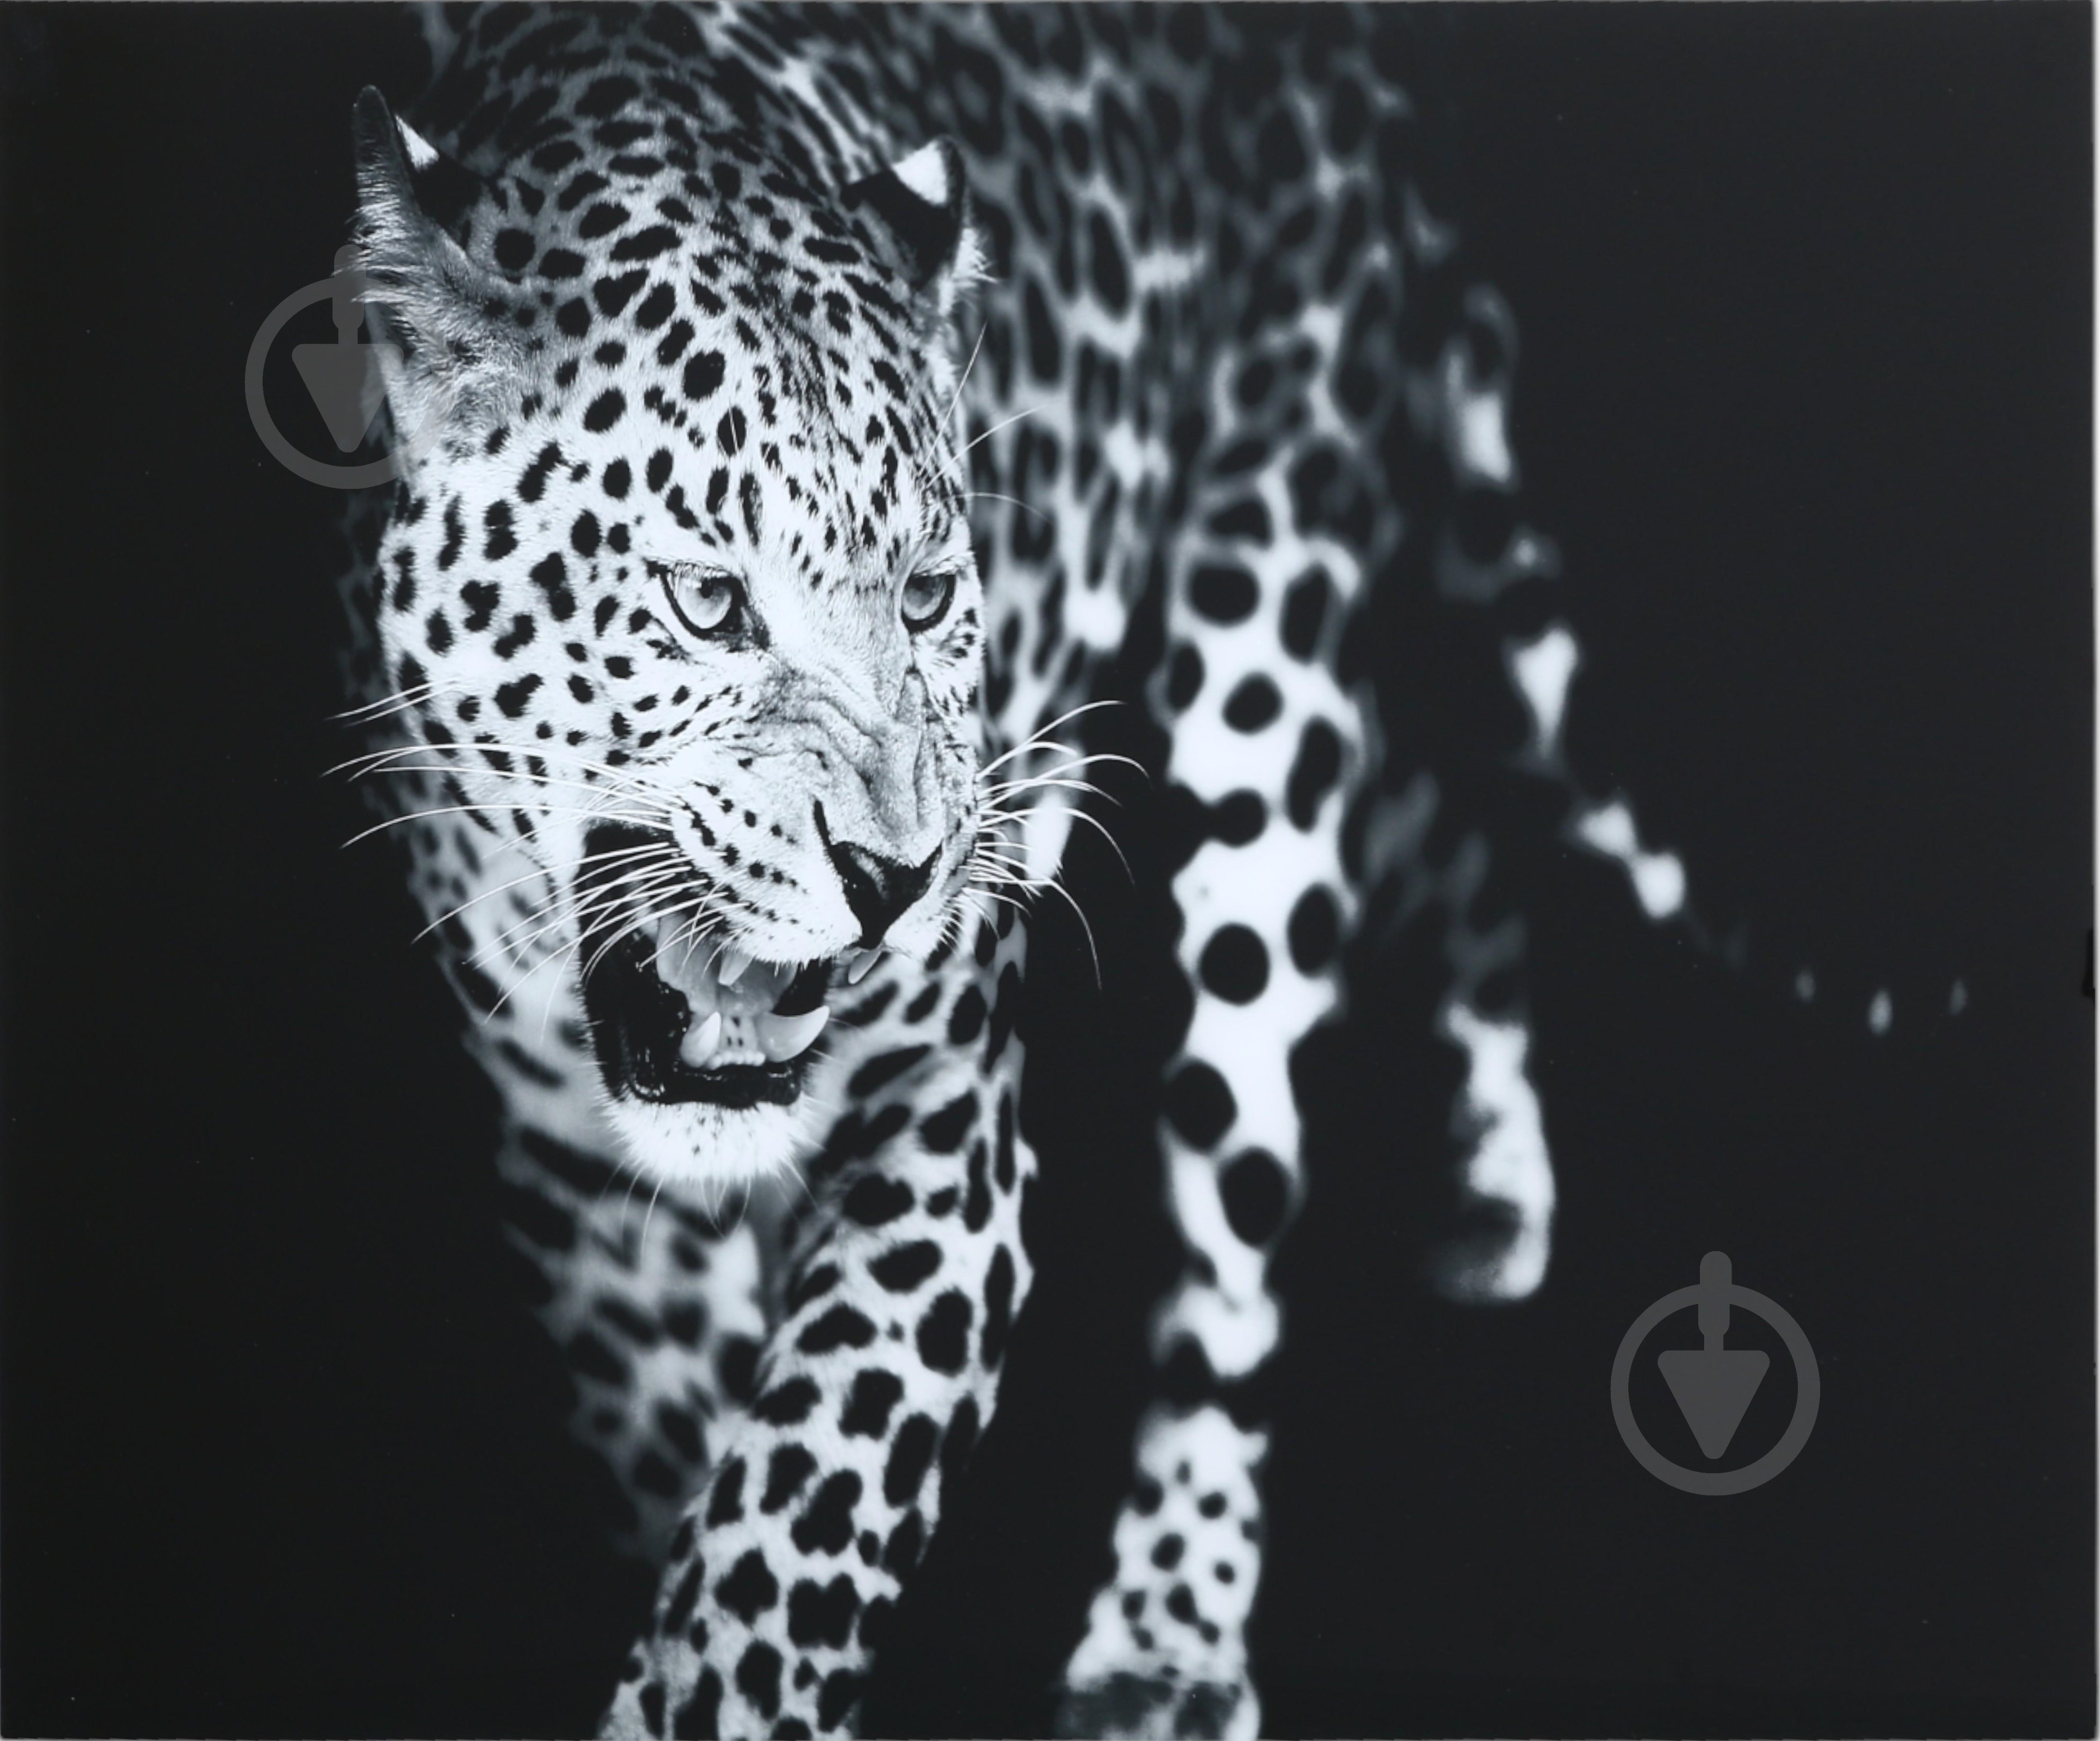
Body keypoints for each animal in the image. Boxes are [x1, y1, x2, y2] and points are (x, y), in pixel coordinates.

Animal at [330, 6, 1885, 1737]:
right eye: (704, 599)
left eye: (930, 592)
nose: (898, 873)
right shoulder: (572, 1178)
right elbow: (692, 1464)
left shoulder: (948, 1122)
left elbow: (784, 1529)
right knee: (1443, 822)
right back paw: (1491, 1170)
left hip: (1264, 683)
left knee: (1236, 1220)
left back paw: (1171, 1627)